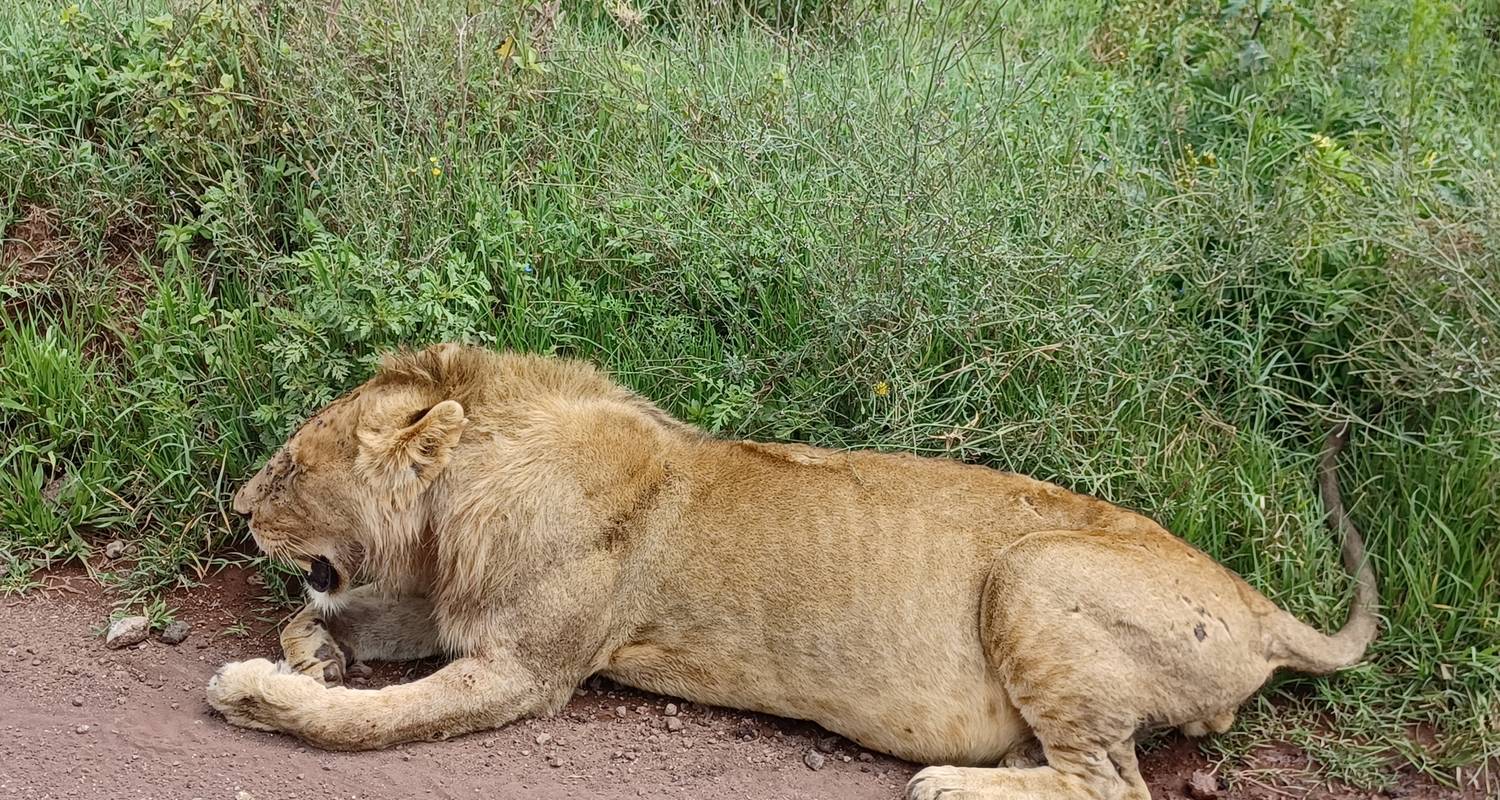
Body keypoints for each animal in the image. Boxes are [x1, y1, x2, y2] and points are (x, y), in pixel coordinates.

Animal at [205, 343, 1374, 798]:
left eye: (292, 465)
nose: (238, 510)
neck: (456, 505)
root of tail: (1262, 607)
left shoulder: (527, 671)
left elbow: (373, 720)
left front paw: (260, 691)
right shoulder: (458, 611)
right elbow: (348, 623)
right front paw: (310, 651)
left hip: (1031, 575)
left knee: (1111, 780)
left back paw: (948, 781)